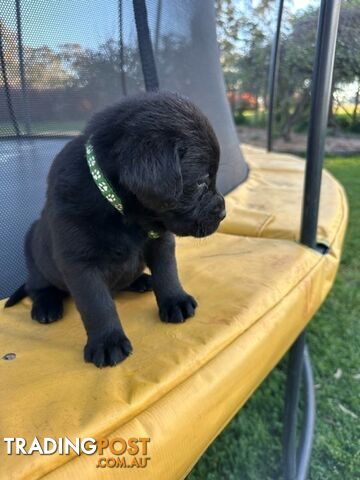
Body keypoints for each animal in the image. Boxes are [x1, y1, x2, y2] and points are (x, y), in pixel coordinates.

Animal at [4, 91, 225, 368]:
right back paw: (46, 306)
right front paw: (107, 342)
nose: (224, 213)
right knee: (37, 287)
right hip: (36, 257)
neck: (122, 213)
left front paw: (175, 300)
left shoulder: (160, 241)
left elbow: (168, 273)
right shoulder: (79, 263)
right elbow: (97, 305)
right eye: (201, 183)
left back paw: (142, 280)